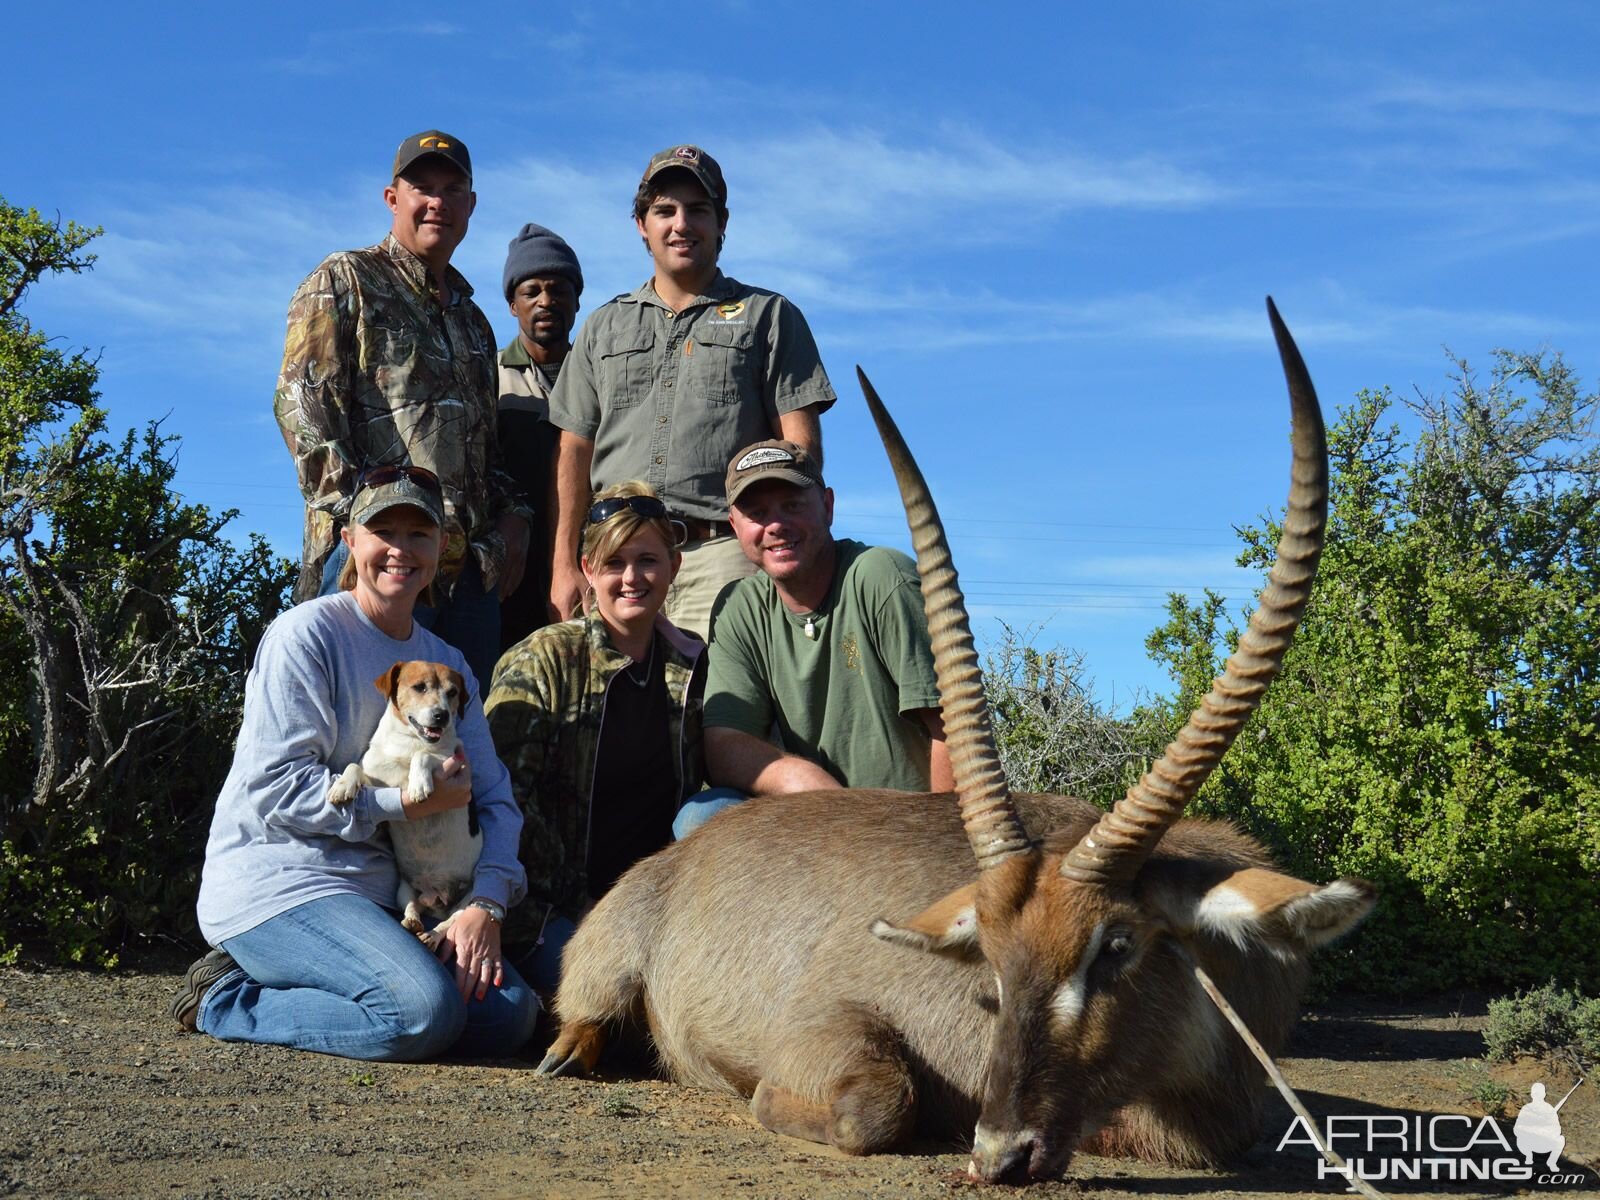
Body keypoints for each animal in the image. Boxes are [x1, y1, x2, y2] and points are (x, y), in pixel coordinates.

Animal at [329, 659, 480, 947]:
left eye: (452, 692)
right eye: (419, 687)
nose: (442, 715)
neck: (407, 743)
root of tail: (437, 898)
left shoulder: (451, 763)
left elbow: (425, 755)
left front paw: (419, 783)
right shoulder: (376, 778)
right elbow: (355, 766)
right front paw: (342, 786)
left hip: (470, 898)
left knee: (448, 923)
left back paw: (431, 935)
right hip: (403, 889)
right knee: (412, 906)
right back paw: (412, 921)